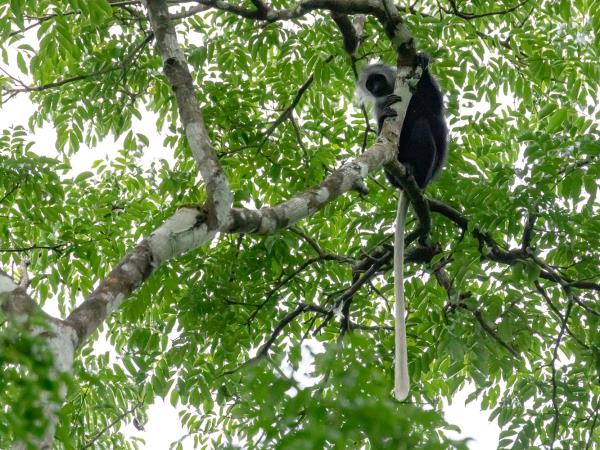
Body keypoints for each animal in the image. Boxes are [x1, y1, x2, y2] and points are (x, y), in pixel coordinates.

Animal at [356, 53, 446, 400]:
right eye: (371, 85)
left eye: (378, 79)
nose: (377, 88)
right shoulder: (382, 105)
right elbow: (384, 120)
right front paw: (387, 112)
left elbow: (434, 104)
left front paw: (422, 61)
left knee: (424, 123)